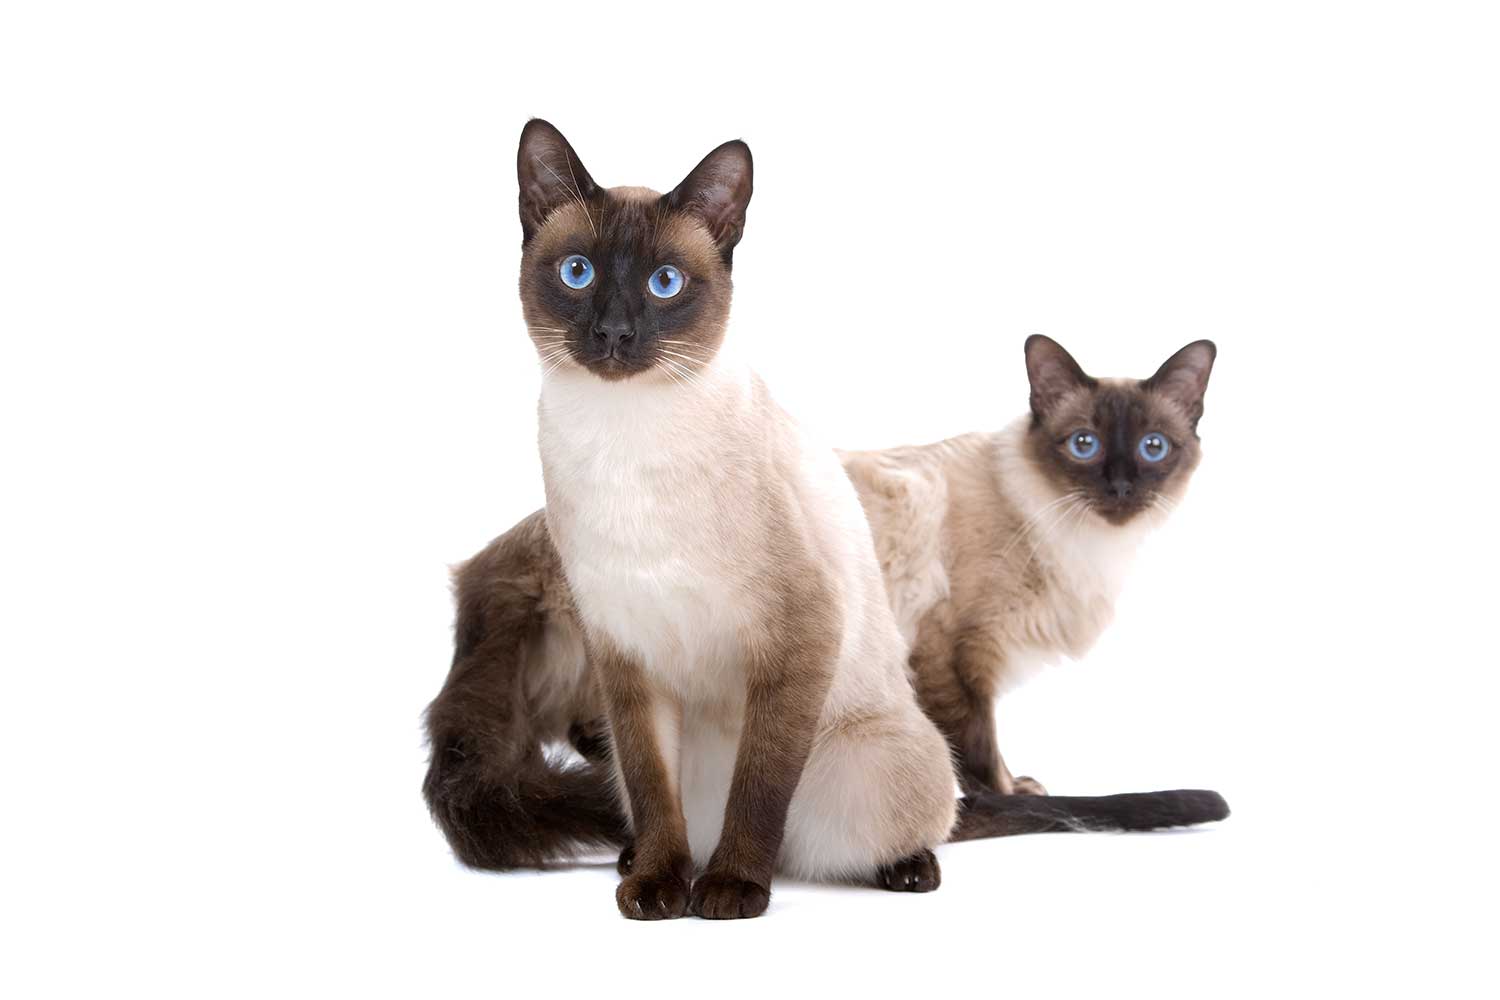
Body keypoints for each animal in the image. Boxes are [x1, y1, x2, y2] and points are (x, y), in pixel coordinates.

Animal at [421, 120, 1228, 919]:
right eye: (578, 273)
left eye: (664, 284)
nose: (615, 335)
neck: (622, 444)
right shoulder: (627, 656)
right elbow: (655, 796)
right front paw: (654, 887)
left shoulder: (799, 635)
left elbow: (761, 789)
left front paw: (732, 892)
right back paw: (655, 863)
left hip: (872, 750)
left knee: (864, 830)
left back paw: (872, 869)